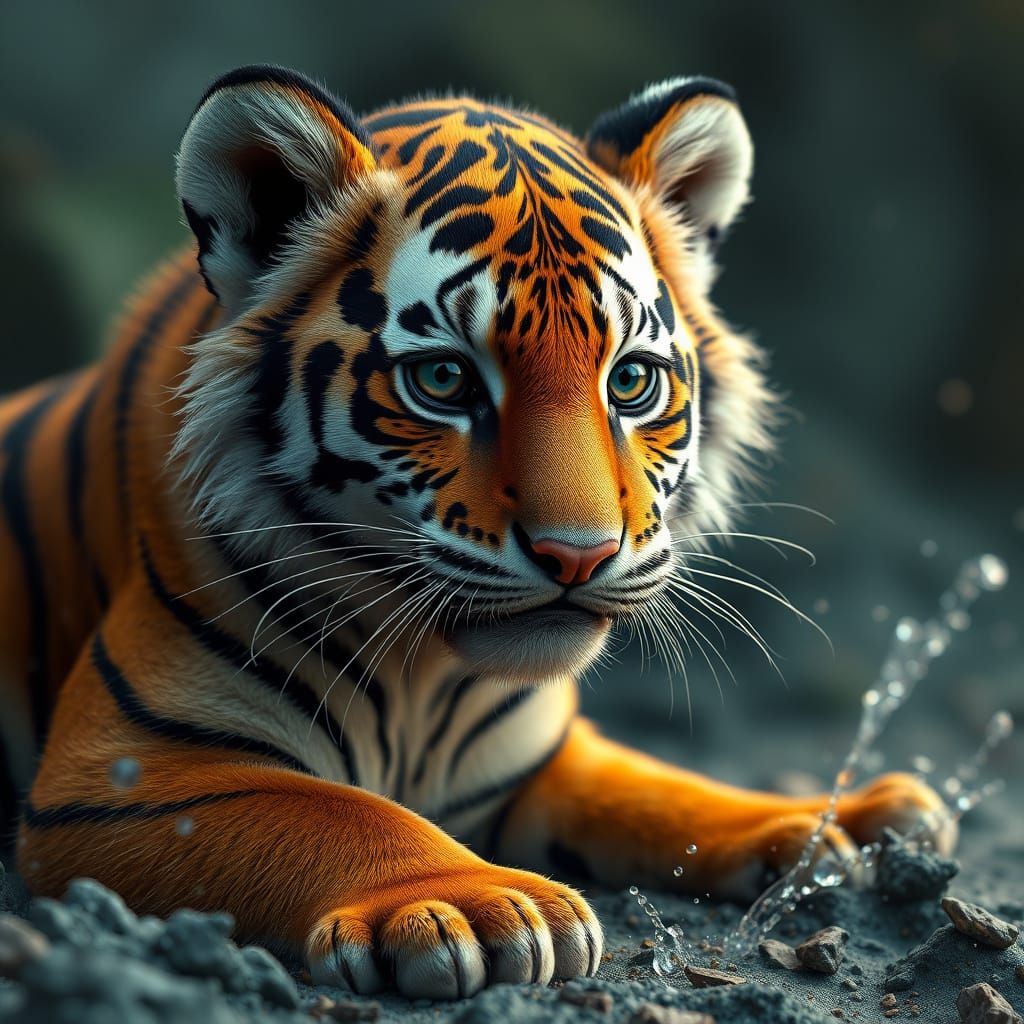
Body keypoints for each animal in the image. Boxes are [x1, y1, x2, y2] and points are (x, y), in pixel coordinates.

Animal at [0, 65, 955, 999]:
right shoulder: (119, 774)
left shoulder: (540, 764)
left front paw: (850, 821)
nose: (580, 553)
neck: (424, 676)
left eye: (632, 381)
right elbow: (334, 808)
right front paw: (470, 904)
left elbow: (658, 791)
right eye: (446, 380)